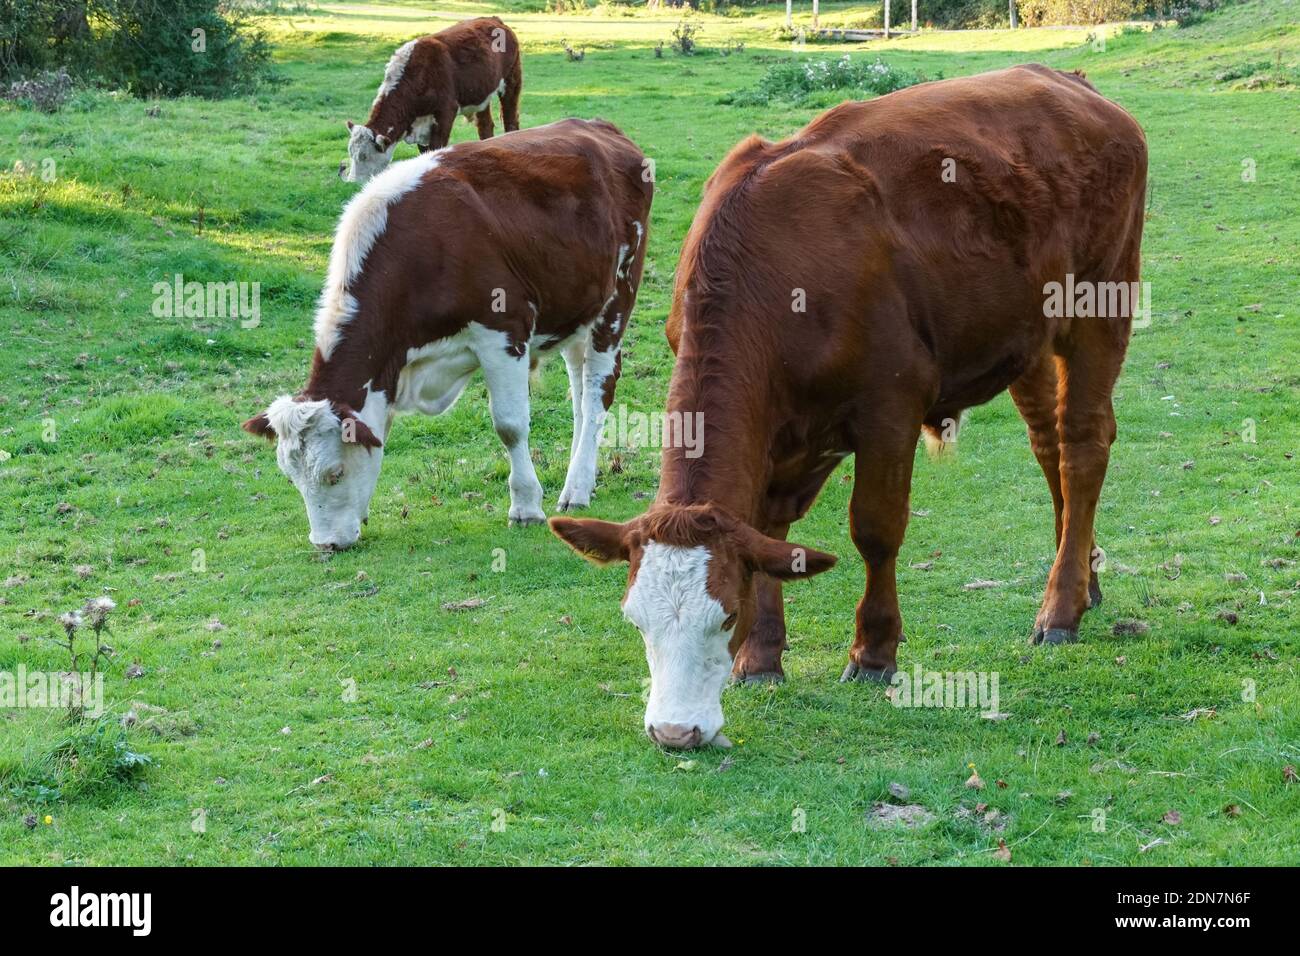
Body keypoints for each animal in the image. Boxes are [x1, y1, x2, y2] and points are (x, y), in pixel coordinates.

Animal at [246, 119, 653, 550]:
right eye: (291, 477)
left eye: (334, 472)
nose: (326, 543)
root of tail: (598, 126)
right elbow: (380, 429)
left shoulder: (503, 332)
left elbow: (510, 425)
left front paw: (526, 507)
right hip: (576, 309)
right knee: (580, 392)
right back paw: (581, 478)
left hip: (617, 299)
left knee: (597, 394)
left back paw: (575, 488)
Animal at [341, 16, 522, 183]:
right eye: (351, 153)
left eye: (364, 156)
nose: (352, 182)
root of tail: (494, 19)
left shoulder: (445, 113)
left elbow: (437, 148)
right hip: (482, 95)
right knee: (485, 126)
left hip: (511, 80)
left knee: (511, 120)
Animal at [550, 65, 1148, 749]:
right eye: (635, 621)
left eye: (723, 617)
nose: (675, 732)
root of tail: (1073, 84)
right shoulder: (777, 431)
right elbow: (770, 532)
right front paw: (762, 657)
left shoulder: (890, 405)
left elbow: (876, 528)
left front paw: (874, 651)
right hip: (1026, 338)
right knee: (1050, 450)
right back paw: (1084, 580)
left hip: (1101, 304)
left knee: (1082, 448)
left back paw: (1061, 608)